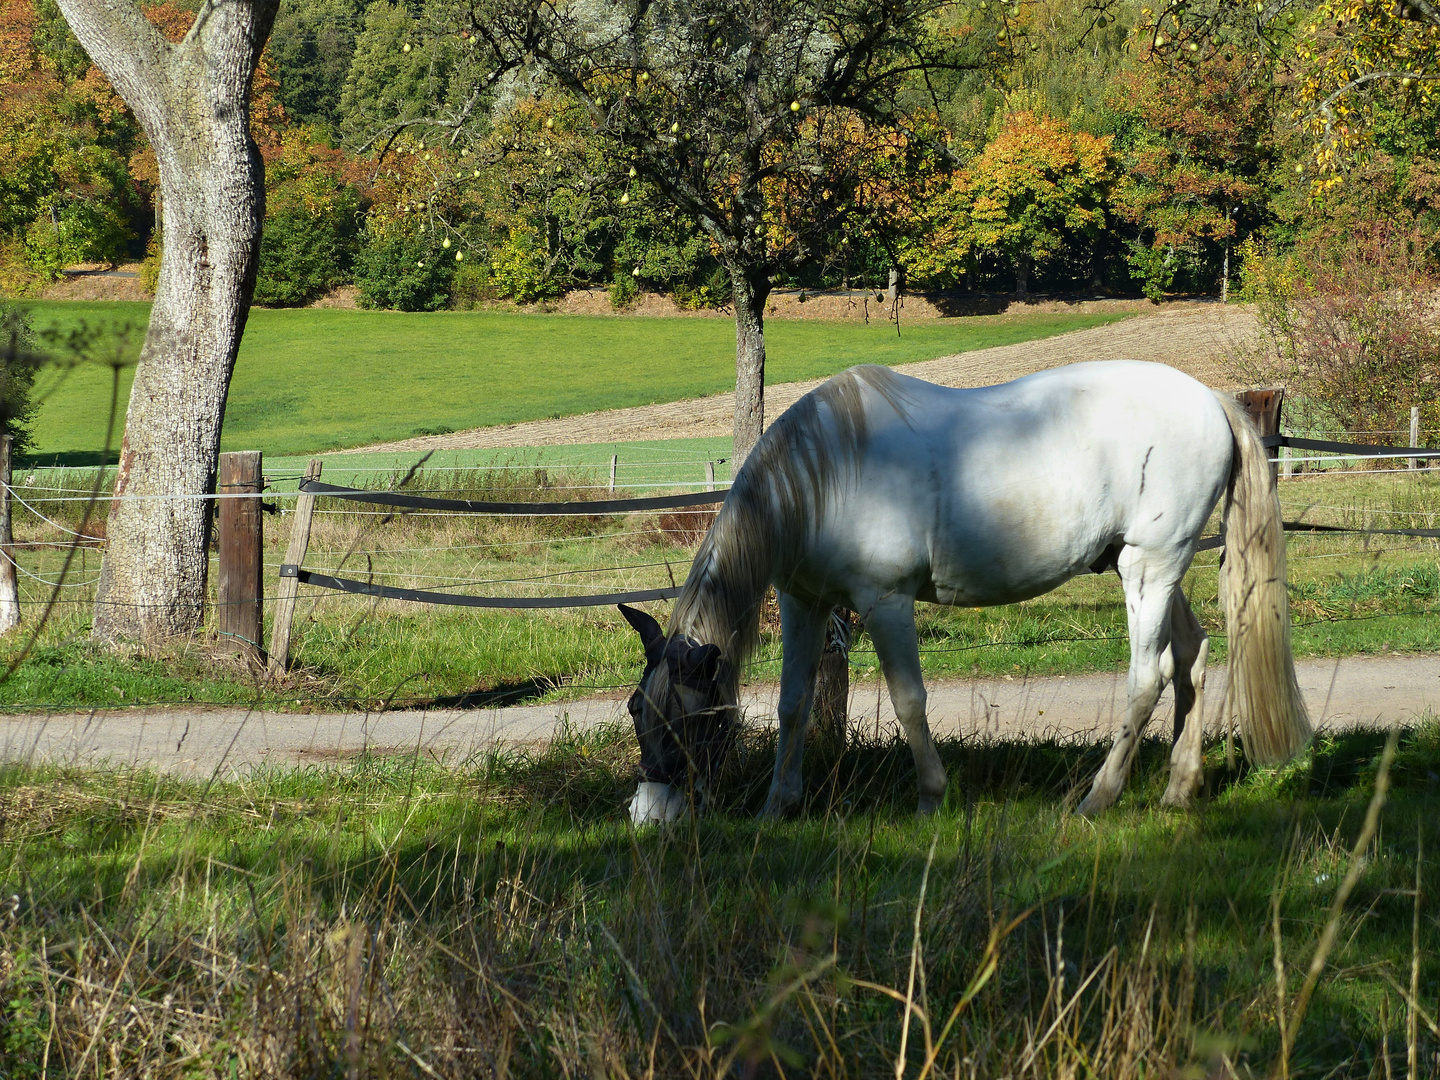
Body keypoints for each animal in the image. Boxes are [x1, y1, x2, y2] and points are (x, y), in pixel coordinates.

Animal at [613, 360, 1313, 823]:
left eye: (687, 718)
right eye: (635, 709)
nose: (648, 815)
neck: (824, 475)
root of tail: (1211, 400)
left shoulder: (885, 602)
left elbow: (909, 701)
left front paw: (931, 798)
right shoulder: (802, 602)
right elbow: (793, 704)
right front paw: (777, 807)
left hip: (1152, 568)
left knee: (1150, 676)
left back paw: (1097, 799)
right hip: (1140, 567)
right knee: (1191, 653)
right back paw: (1178, 789)